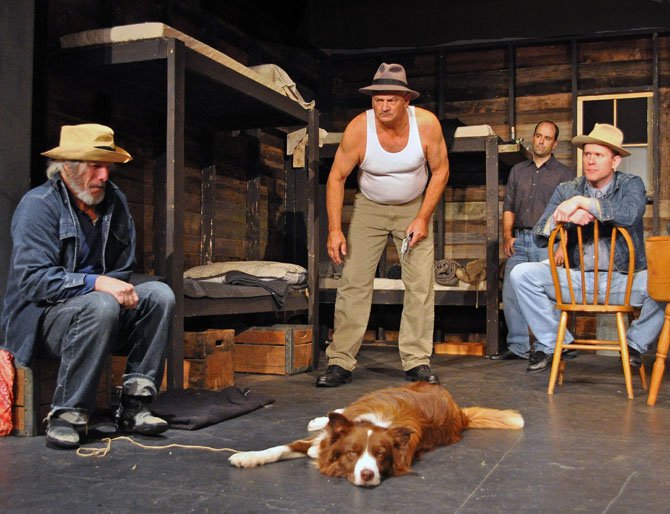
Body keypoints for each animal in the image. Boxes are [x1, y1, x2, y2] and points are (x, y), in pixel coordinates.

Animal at [231, 380, 524, 484]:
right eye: (352, 453)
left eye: (381, 455)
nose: (368, 475)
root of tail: (458, 409)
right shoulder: (322, 440)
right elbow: (277, 449)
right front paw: (247, 457)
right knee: (336, 412)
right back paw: (322, 418)